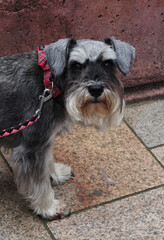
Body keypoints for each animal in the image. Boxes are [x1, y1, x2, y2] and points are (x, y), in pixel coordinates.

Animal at [0, 37, 135, 219]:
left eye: (108, 64)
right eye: (76, 65)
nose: (95, 89)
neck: (49, 84)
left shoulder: (46, 140)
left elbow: (47, 159)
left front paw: (56, 174)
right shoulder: (31, 147)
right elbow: (39, 182)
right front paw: (50, 208)